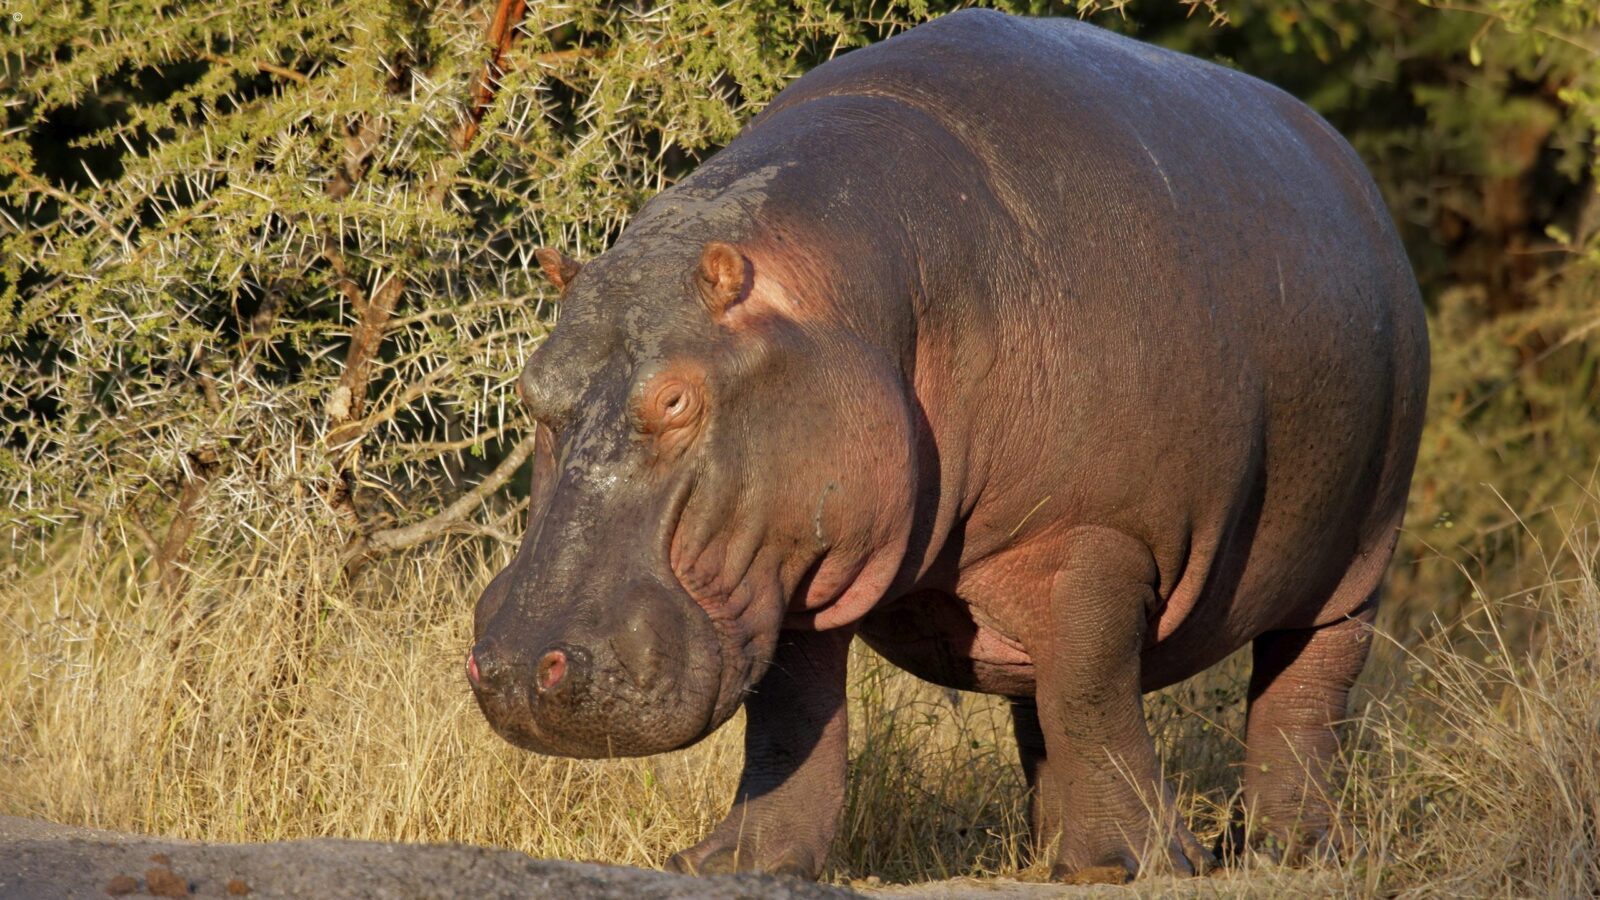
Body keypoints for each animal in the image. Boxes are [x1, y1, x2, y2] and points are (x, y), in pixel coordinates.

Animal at [467, 8, 1428, 883]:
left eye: (675, 398)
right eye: (530, 384)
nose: (512, 666)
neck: (855, 295)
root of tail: (1349, 162)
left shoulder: (1097, 538)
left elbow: (1093, 695)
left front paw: (1146, 865)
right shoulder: (791, 555)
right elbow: (790, 719)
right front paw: (733, 864)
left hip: (1355, 566)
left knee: (1297, 696)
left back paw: (1287, 851)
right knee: (1043, 705)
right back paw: (1059, 859)